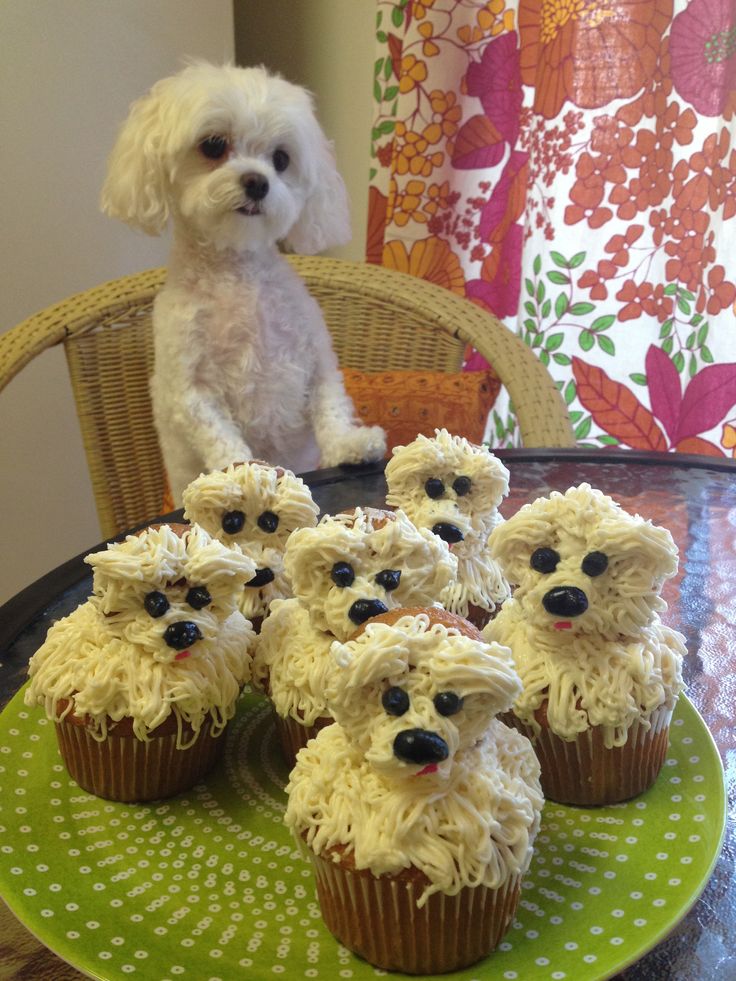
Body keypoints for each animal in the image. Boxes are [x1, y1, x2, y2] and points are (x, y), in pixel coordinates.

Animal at [102, 61, 386, 502]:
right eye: (213, 145)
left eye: (281, 159)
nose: (257, 181)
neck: (237, 275)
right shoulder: (191, 391)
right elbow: (221, 438)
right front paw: (242, 472)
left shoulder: (316, 360)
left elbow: (331, 407)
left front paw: (350, 445)